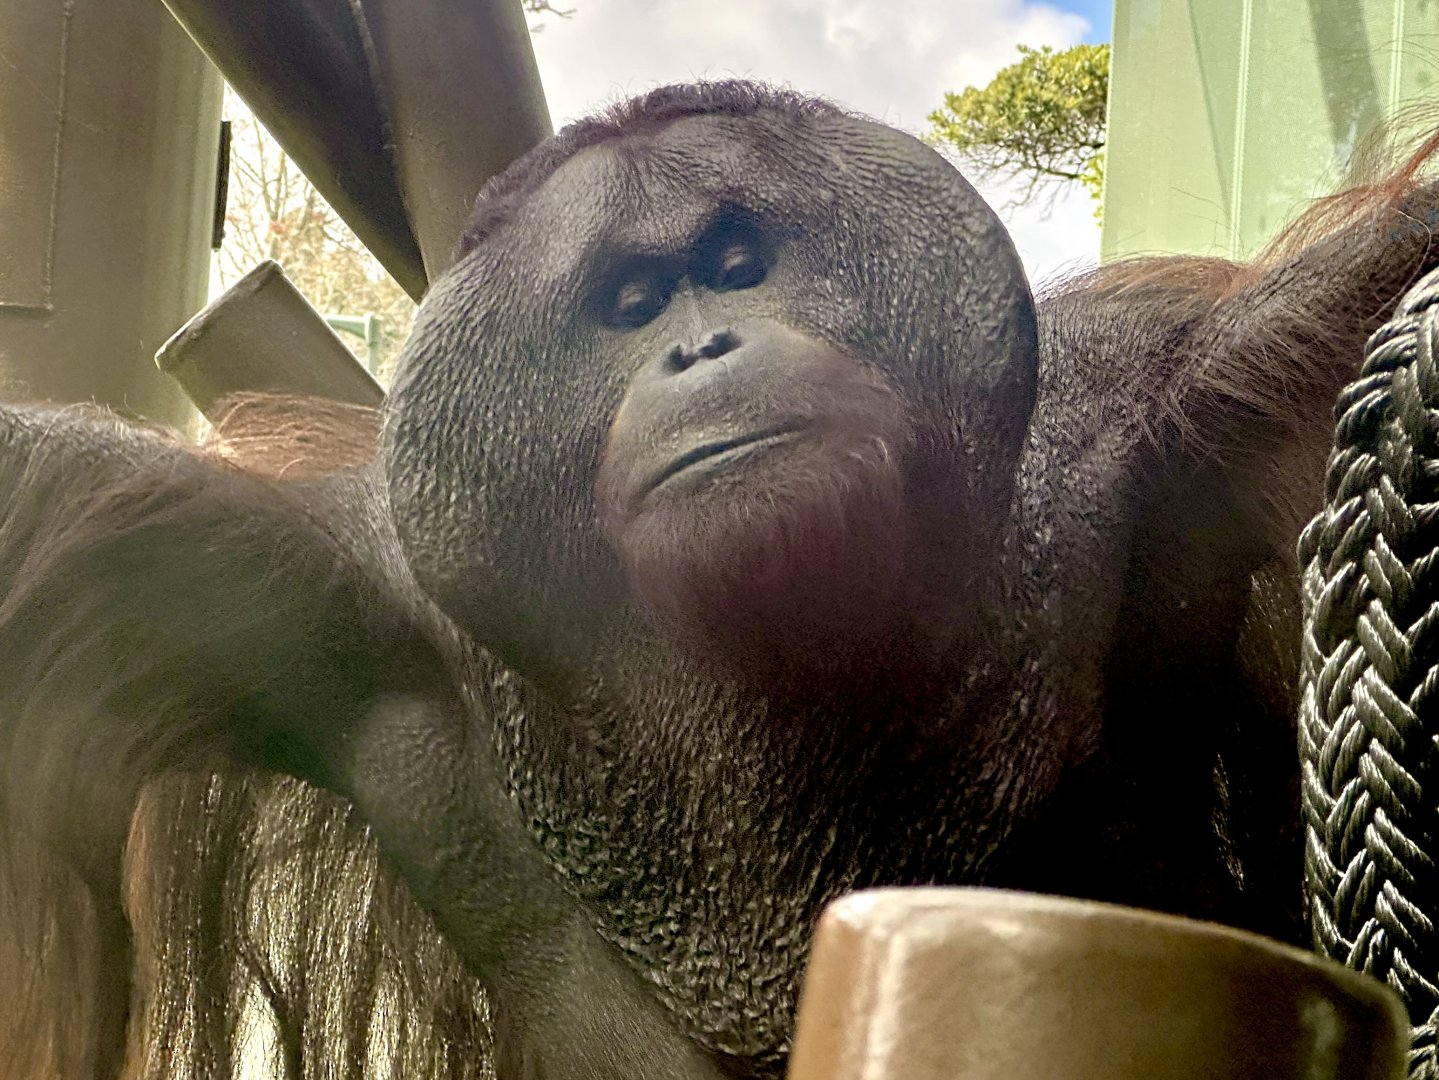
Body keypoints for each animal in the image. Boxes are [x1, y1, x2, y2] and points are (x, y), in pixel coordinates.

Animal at [2, 80, 1437, 1079]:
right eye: (632, 303)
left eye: (737, 266)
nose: (701, 348)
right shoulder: (305, 594)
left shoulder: (1159, 416)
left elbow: (1338, 291)